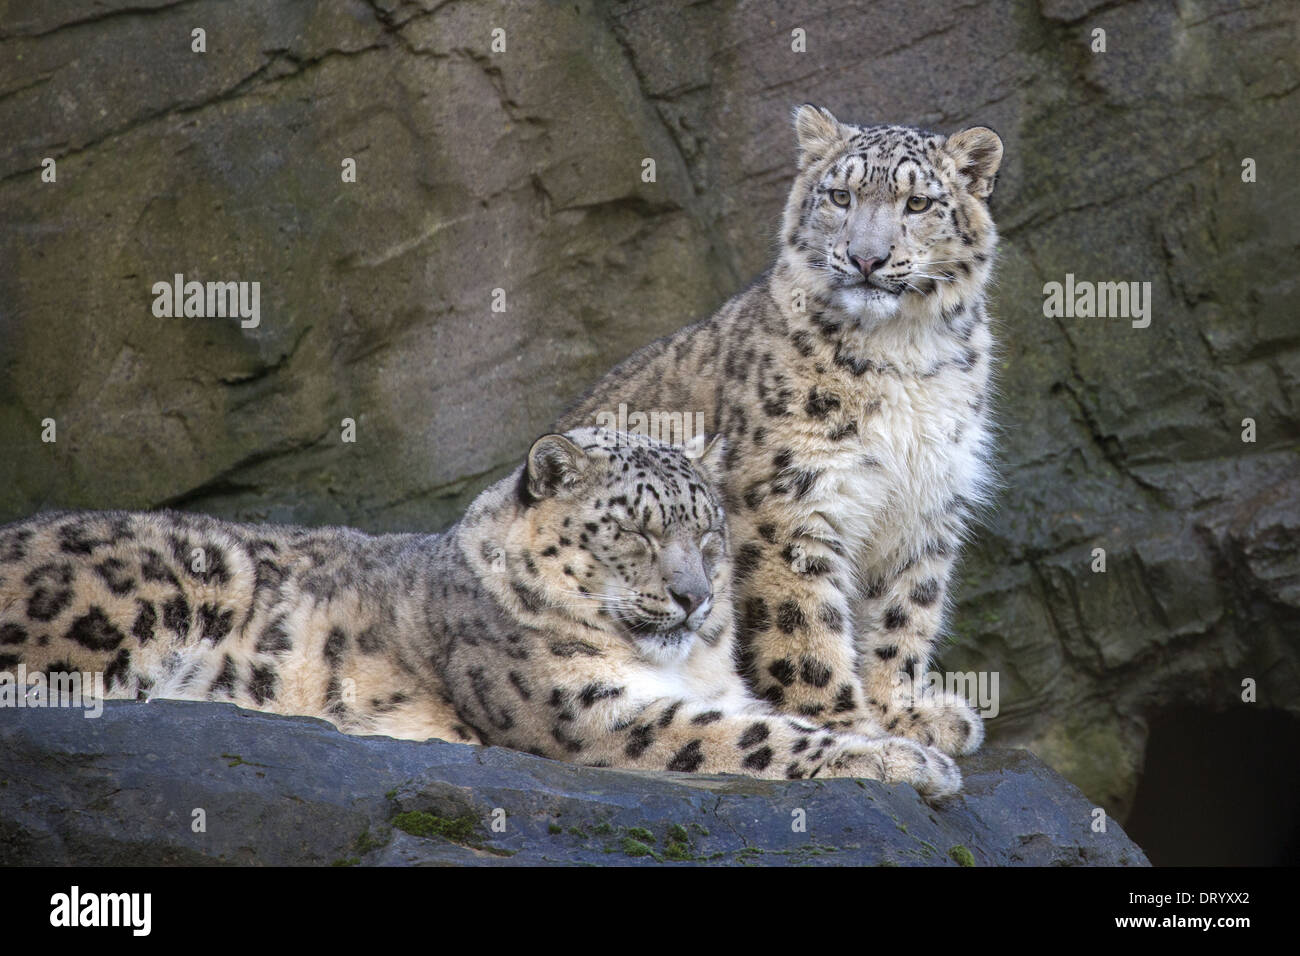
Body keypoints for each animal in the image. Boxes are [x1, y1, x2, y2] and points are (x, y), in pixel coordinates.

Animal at [0, 427, 960, 795]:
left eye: (709, 531)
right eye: (636, 531)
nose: (693, 596)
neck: (687, 662)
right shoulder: (593, 715)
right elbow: (762, 737)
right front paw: (911, 761)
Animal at [556, 105, 1005, 757]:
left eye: (918, 203)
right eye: (840, 195)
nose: (866, 258)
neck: (904, 352)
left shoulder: (925, 504)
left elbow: (903, 613)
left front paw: (905, 712)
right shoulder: (788, 502)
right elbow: (804, 624)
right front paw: (845, 723)